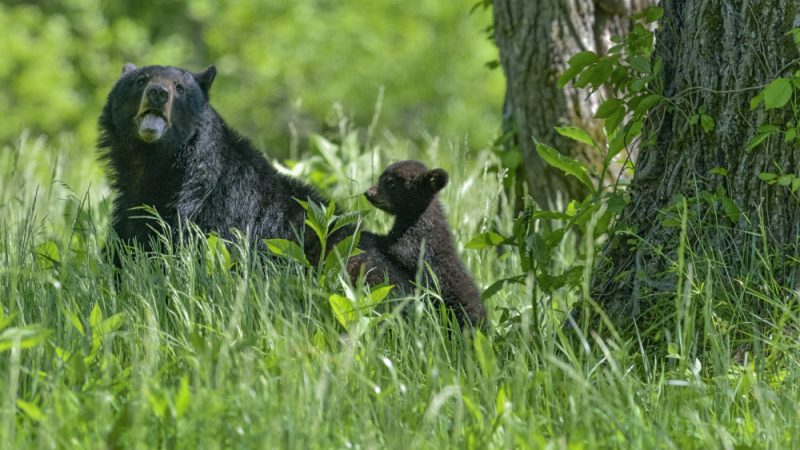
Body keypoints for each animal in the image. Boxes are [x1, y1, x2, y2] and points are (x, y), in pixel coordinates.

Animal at [349, 160, 487, 327]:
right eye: (381, 177)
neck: (418, 217)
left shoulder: (415, 240)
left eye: (391, 182)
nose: (368, 193)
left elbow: (394, 248)